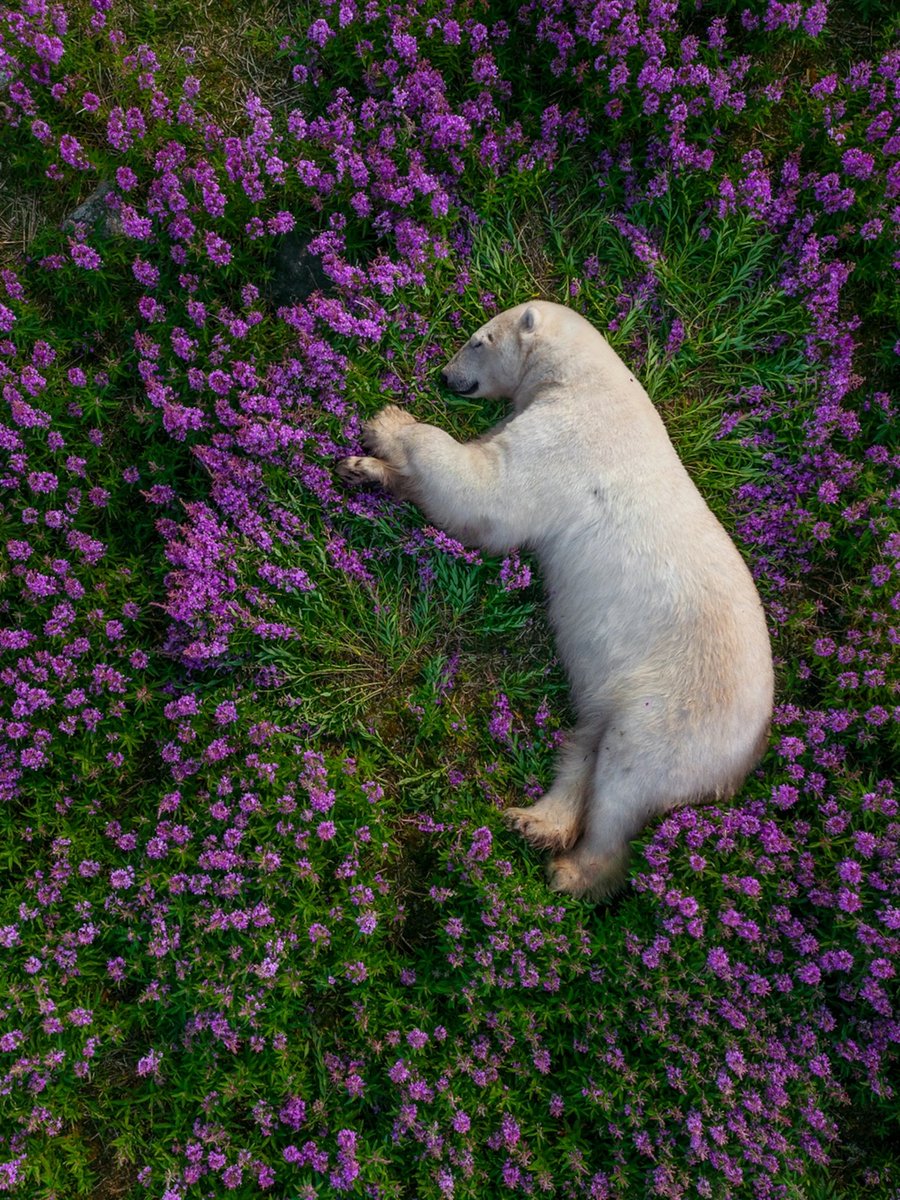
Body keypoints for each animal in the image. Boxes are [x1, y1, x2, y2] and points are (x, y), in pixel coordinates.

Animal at [337, 300, 774, 899]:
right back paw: (534, 820)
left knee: (626, 779)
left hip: (678, 711)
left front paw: (387, 422)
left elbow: (486, 491)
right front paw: (363, 469)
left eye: (477, 340)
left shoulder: (567, 440)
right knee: (585, 745)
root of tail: (749, 756)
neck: (586, 378)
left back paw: (572, 871)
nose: (445, 377)